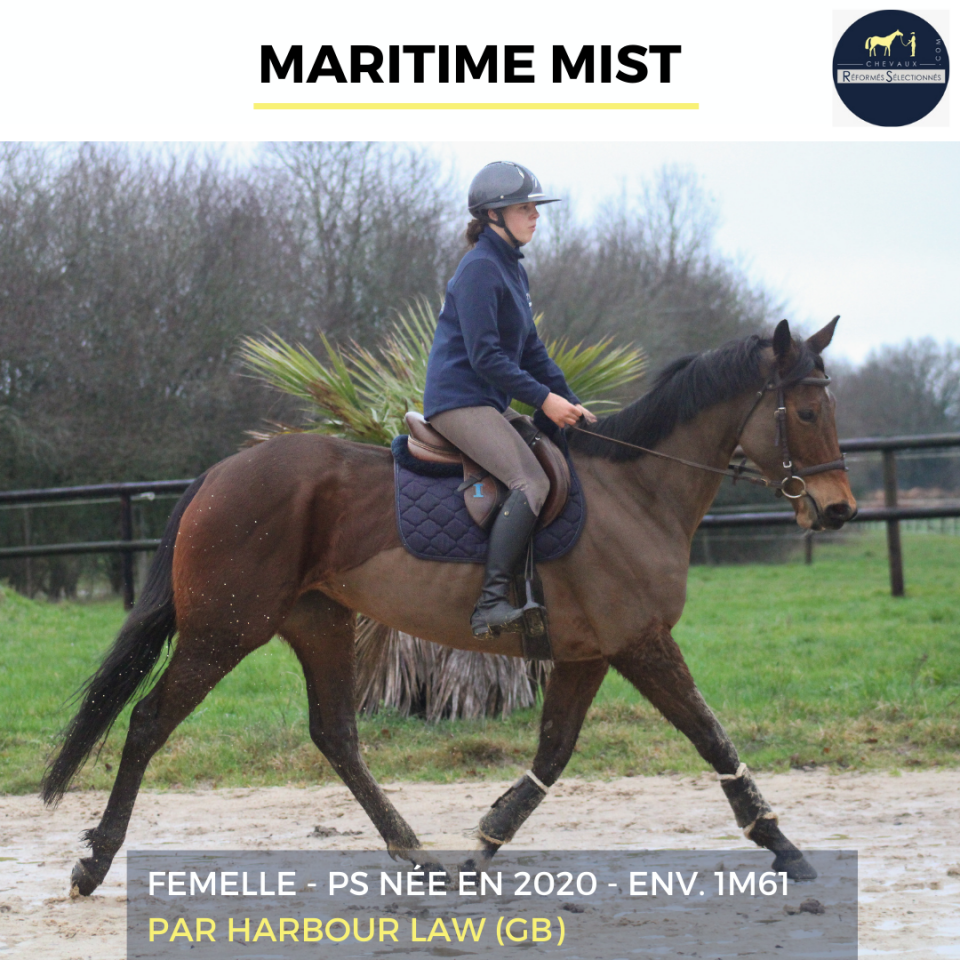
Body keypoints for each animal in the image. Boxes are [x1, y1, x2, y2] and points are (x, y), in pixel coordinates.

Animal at [42, 318, 856, 896]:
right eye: (806, 410)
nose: (840, 509)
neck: (637, 491)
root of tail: (219, 473)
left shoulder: (591, 652)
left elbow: (554, 751)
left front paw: (486, 841)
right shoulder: (641, 642)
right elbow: (710, 736)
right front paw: (782, 845)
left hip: (318, 622)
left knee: (336, 734)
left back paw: (416, 855)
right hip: (224, 630)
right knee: (148, 721)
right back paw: (95, 863)